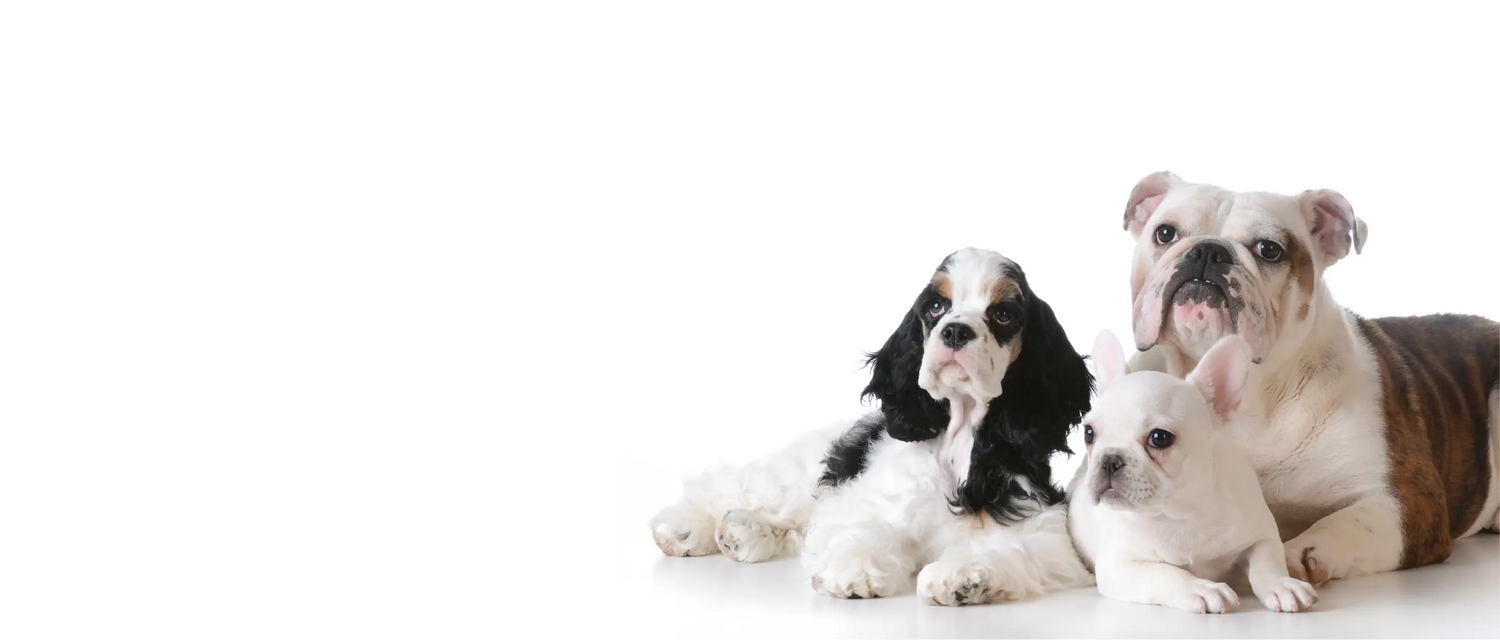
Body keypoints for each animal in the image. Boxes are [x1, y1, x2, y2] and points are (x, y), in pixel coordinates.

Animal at [645, 248, 1092, 602]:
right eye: (935, 307)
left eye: (1002, 314)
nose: (954, 331)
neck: (959, 441)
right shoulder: (863, 500)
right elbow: (863, 528)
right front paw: (856, 570)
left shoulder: (1043, 529)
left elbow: (1012, 548)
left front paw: (962, 578)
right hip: (794, 477)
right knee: (729, 486)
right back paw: (683, 528)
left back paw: (741, 532)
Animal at [1074, 331, 1320, 617]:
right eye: (1088, 433)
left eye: (1159, 438)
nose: (1110, 459)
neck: (1182, 512)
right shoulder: (1118, 566)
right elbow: (1164, 573)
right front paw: (1200, 589)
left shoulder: (1262, 535)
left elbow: (1267, 561)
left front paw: (1282, 585)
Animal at [1122, 171, 1494, 587]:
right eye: (1165, 233)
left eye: (1269, 249)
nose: (1207, 251)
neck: (1250, 391)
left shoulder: (1409, 499)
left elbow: (1345, 523)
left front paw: (1292, 557)